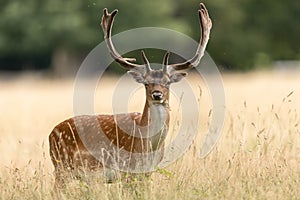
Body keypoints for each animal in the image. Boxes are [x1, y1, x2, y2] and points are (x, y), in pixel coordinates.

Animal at [48, 2, 211, 188]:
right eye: (146, 83)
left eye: (167, 83)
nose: (157, 94)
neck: (148, 145)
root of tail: (50, 134)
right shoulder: (127, 171)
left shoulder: (148, 173)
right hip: (61, 168)